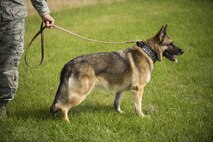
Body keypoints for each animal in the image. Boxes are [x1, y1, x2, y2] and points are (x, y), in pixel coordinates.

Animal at [49, 25, 183, 121]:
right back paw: (67, 123)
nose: (183, 51)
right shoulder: (138, 89)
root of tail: (69, 64)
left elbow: (116, 103)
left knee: (60, 106)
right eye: (170, 44)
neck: (147, 51)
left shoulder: (120, 90)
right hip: (81, 94)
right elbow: (138, 106)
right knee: (63, 108)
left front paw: (120, 113)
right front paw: (142, 117)